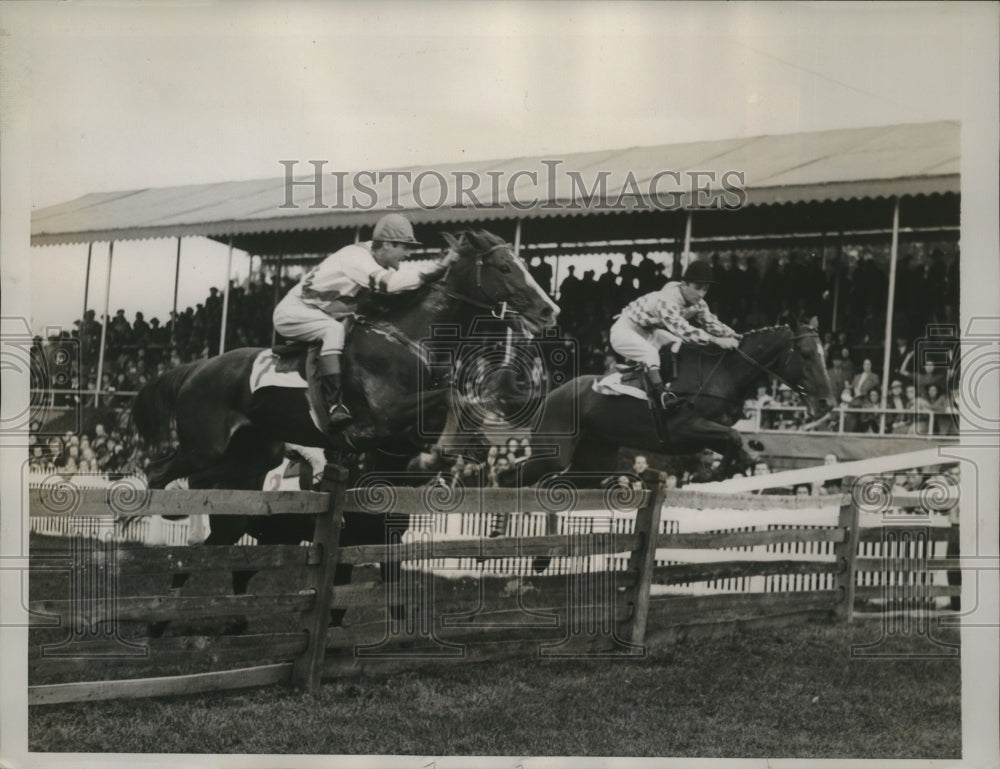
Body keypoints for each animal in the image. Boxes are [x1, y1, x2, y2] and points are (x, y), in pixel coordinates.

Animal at [129, 226, 560, 632]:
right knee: (160, 475)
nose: (549, 309)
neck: (408, 341)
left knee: (218, 525)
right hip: (205, 446)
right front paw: (456, 449)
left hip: (252, 461)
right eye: (505, 267)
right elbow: (452, 394)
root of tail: (194, 369)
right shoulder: (385, 418)